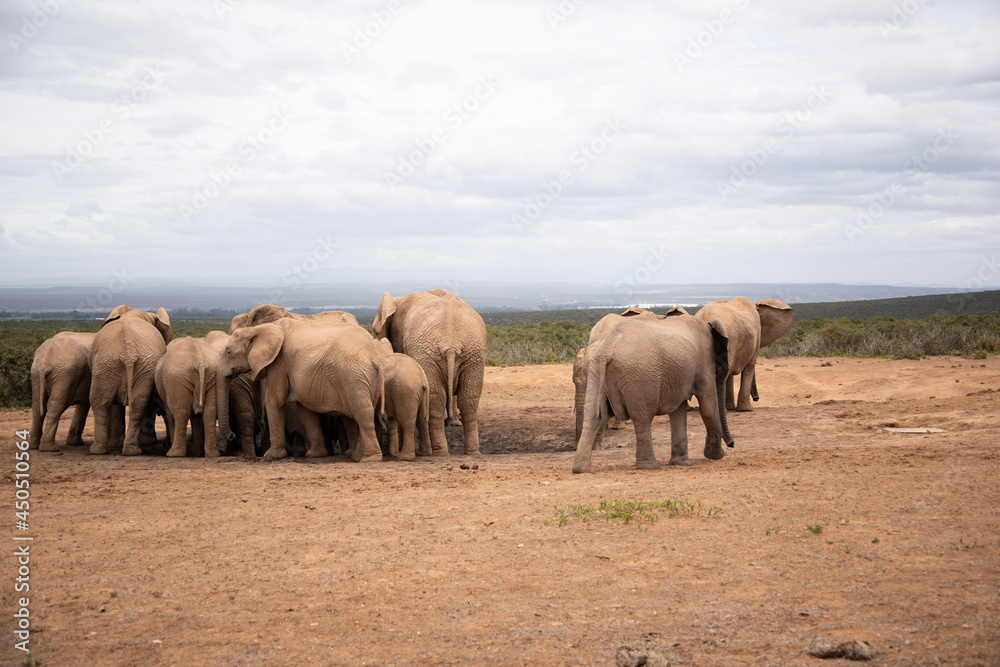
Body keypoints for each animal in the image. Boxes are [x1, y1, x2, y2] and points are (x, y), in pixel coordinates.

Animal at [216, 318, 385, 461]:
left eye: (229, 351)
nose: (232, 435)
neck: (256, 329)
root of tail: (375, 358)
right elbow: (305, 408)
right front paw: (315, 455)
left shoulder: (278, 362)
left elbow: (274, 400)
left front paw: (271, 456)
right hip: (368, 380)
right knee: (364, 413)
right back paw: (357, 456)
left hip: (354, 378)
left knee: (362, 413)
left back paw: (369, 459)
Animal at [373, 289, 486, 456]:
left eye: (375, 331)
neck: (397, 301)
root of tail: (451, 345)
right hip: (474, 354)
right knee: (468, 400)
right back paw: (472, 452)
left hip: (428, 354)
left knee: (435, 399)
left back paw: (439, 452)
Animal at [572, 314, 734, 474]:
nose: (731, 444)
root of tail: (607, 349)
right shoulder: (704, 362)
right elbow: (708, 408)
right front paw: (716, 456)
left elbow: (678, 411)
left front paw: (682, 463)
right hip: (640, 376)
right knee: (642, 418)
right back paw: (651, 466)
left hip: (596, 371)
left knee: (594, 417)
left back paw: (583, 469)